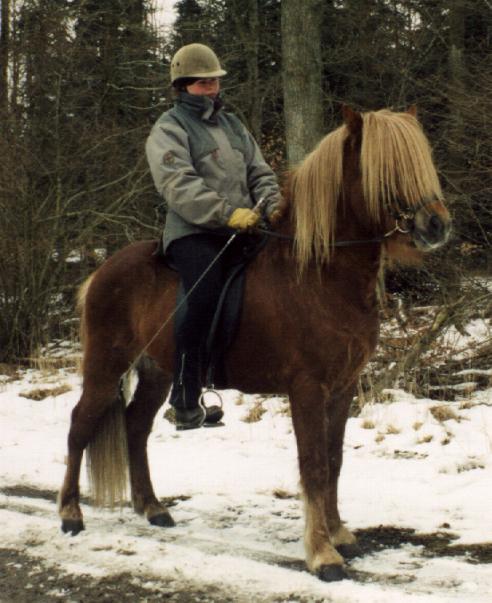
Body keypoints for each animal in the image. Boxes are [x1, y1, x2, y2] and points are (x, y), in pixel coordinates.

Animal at [57, 107, 450, 580]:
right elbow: (313, 465)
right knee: (79, 426)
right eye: (387, 170)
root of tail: (102, 271)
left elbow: (334, 461)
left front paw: (338, 534)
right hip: (106, 365)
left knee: (135, 426)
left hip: (158, 372)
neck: (319, 274)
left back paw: (152, 508)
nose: (437, 225)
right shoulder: (307, 388)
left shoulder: (342, 388)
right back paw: (70, 514)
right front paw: (322, 555)